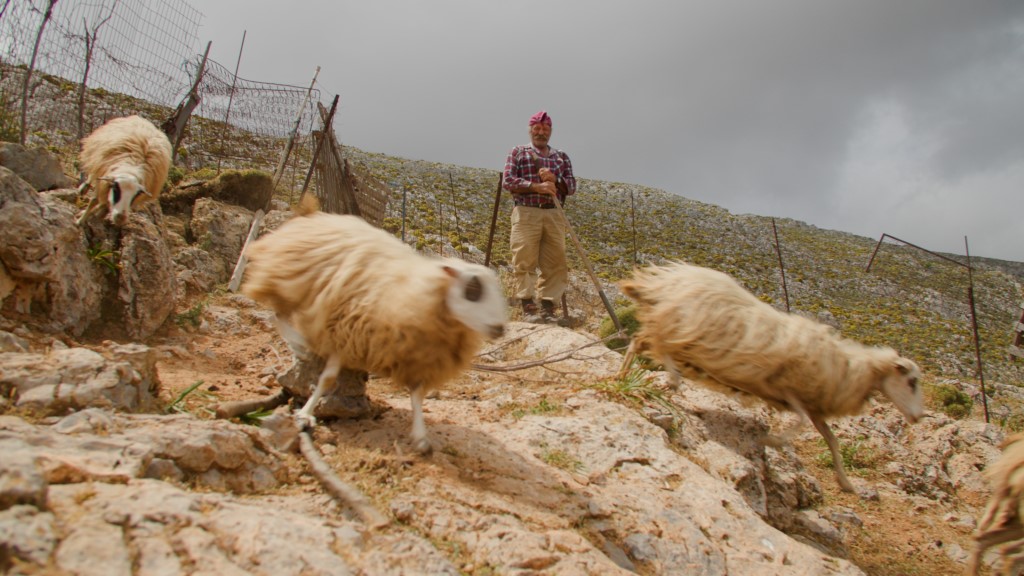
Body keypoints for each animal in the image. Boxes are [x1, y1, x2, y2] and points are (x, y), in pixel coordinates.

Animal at [243, 206, 507, 453]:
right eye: (472, 289)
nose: (500, 328)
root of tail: (315, 216)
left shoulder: (416, 357)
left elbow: (417, 398)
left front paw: (420, 436)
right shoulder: (344, 333)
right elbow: (327, 380)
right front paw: (306, 413)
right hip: (285, 281)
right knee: (277, 315)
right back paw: (300, 345)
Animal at [618, 262, 925, 491]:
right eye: (911, 382)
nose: (918, 417)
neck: (851, 368)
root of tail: (670, 279)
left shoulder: (813, 407)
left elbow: (832, 440)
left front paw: (845, 482)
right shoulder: (787, 389)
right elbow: (799, 424)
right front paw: (770, 442)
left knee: (639, 342)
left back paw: (624, 375)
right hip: (680, 329)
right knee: (654, 345)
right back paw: (667, 380)